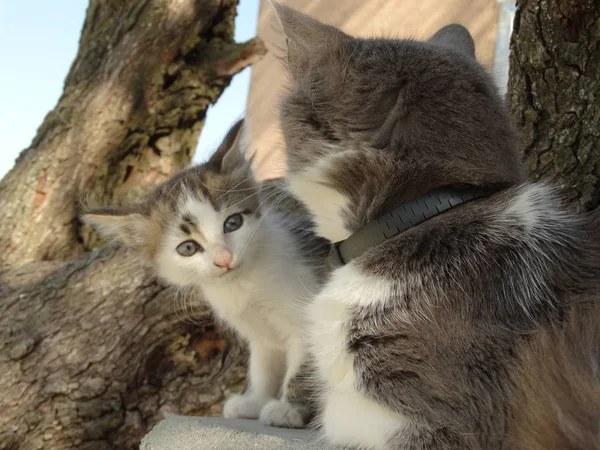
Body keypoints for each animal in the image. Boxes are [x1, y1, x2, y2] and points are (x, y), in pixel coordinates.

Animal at [81, 119, 328, 428]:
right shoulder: (260, 336)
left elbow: (305, 367)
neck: (242, 284)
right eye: (188, 248)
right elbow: (262, 367)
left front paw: (289, 409)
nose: (224, 260)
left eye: (233, 223)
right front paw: (255, 401)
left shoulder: (308, 313)